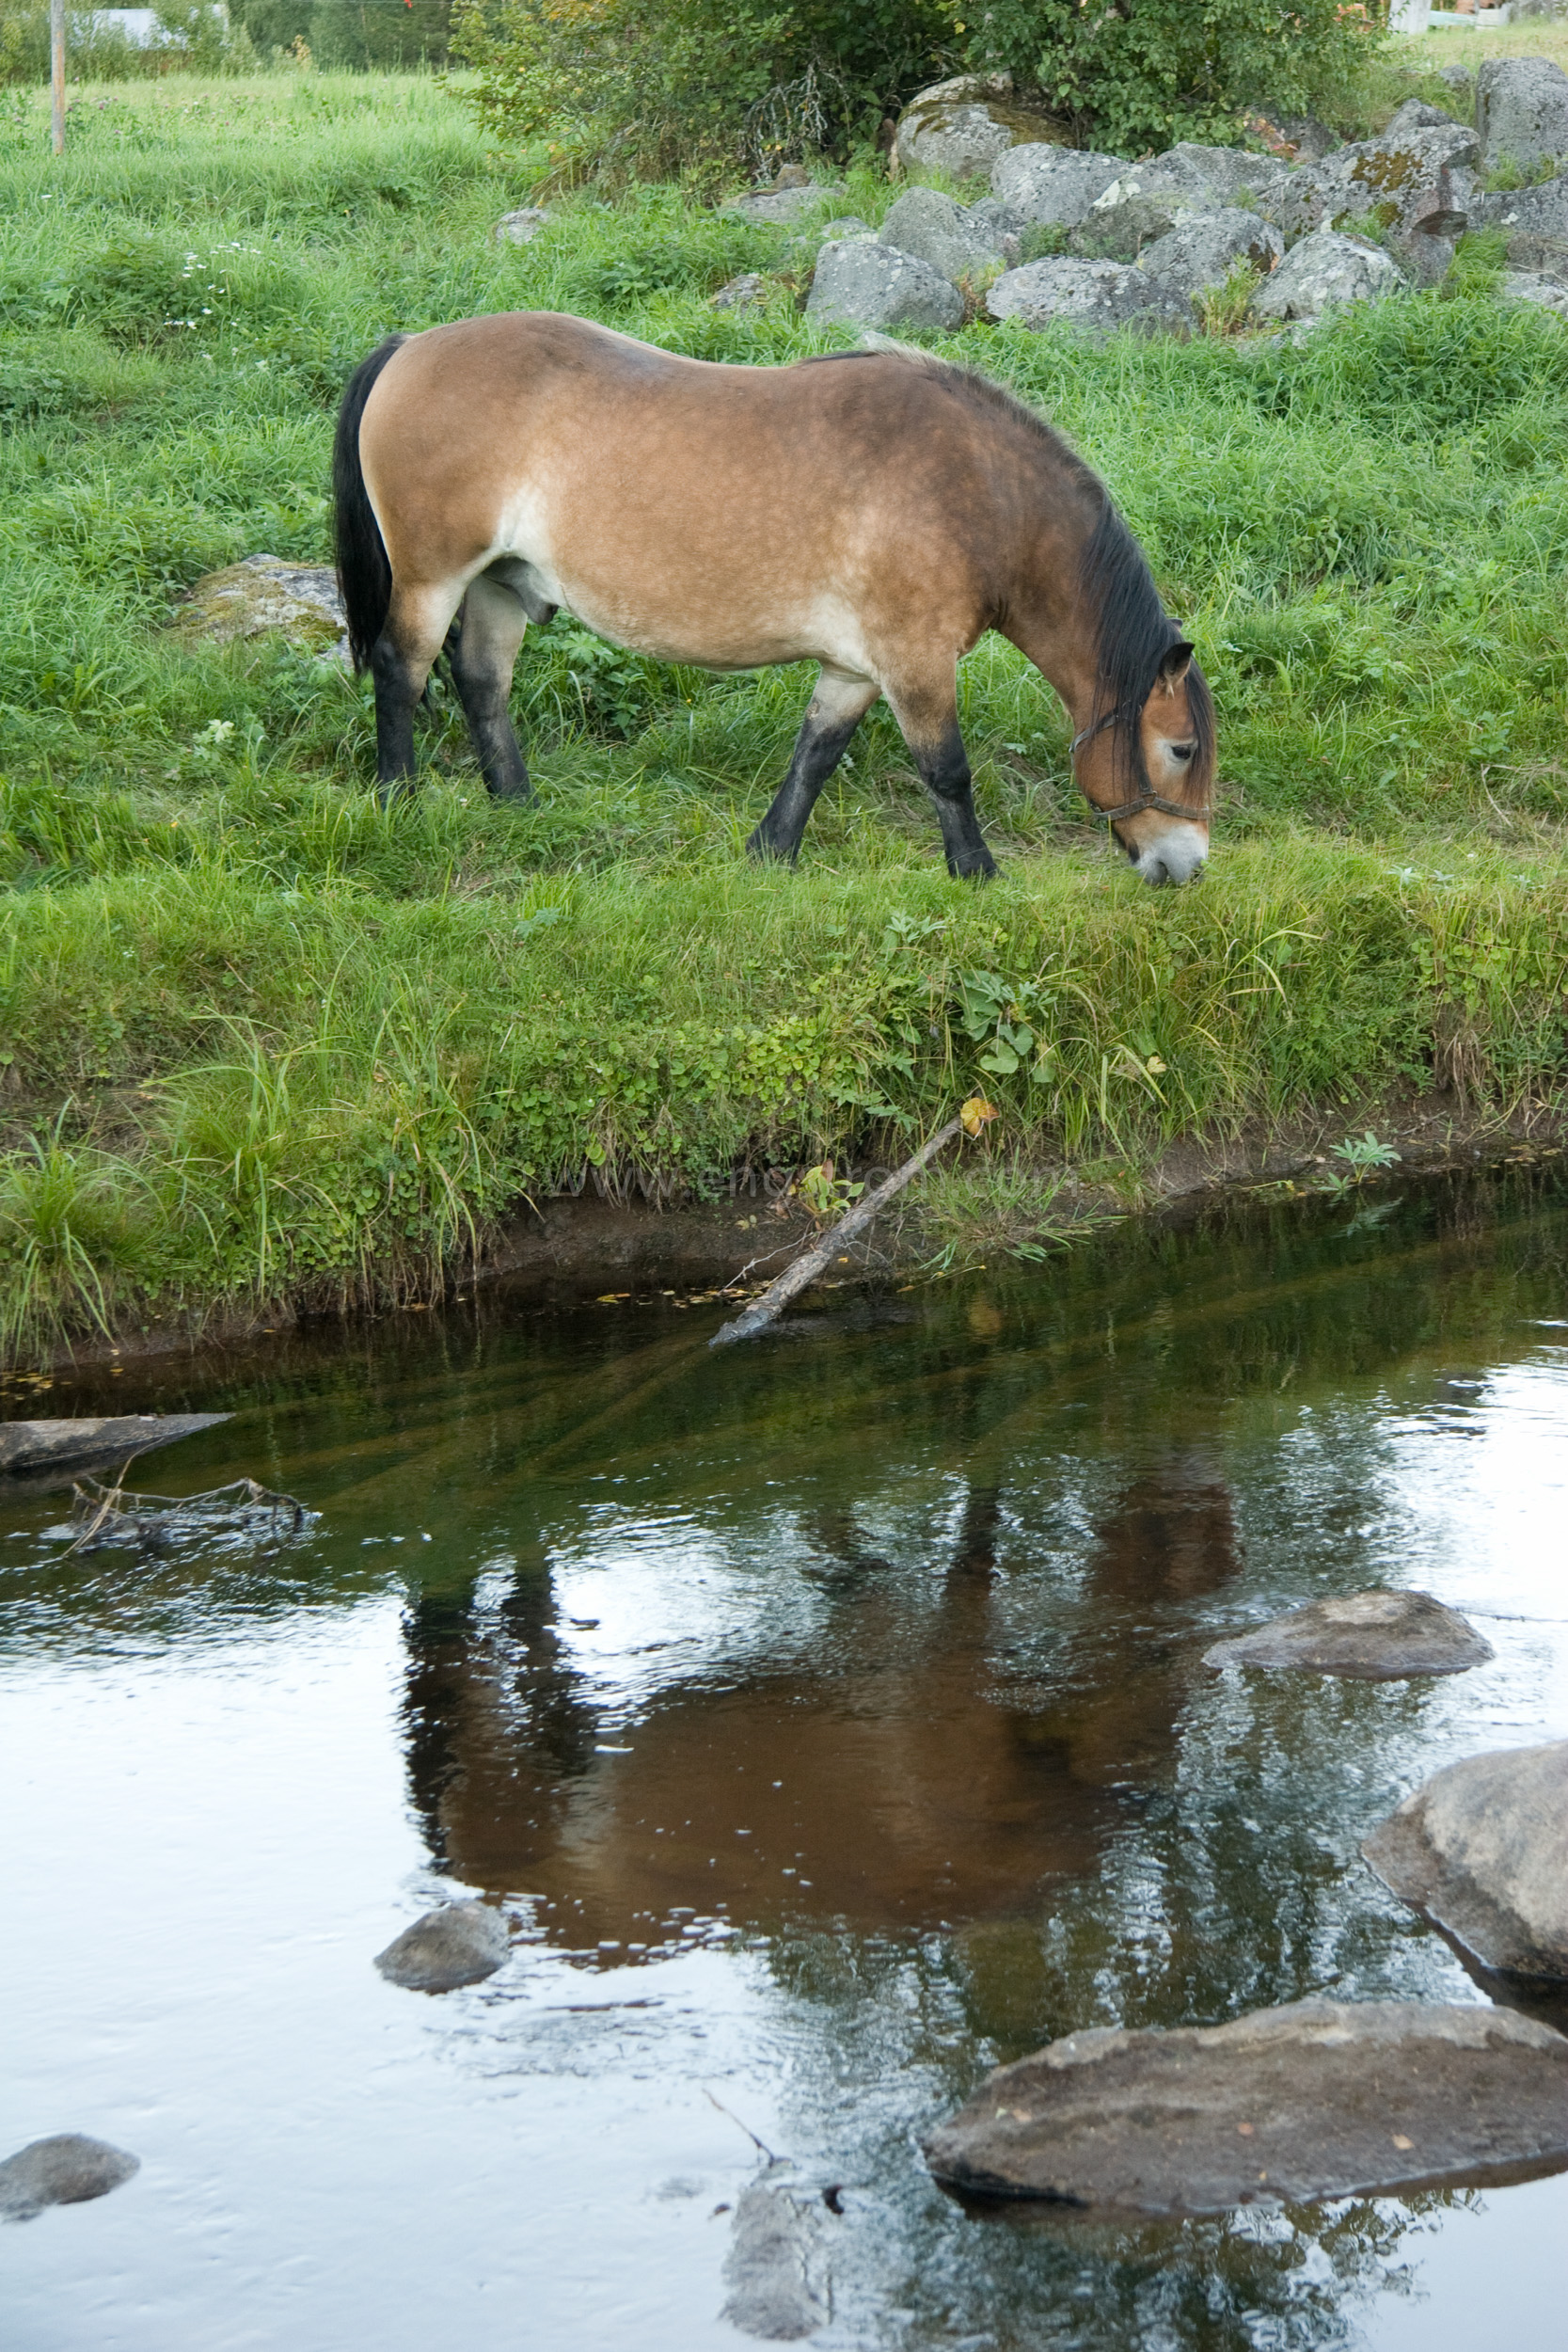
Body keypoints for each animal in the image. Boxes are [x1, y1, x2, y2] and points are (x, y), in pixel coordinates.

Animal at [331, 317, 1212, 884]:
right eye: (1180, 750)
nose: (1186, 867)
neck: (978, 492)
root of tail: (410, 347)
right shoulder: (915, 664)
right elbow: (948, 772)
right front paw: (978, 873)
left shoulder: (855, 669)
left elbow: (814, 754)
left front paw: (771, 852)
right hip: (433, 580)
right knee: (401, 672)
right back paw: (399, 799)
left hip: (497, 585)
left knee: (482, 682)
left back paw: (518, 805)